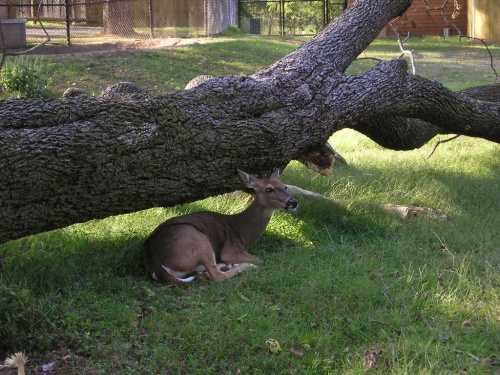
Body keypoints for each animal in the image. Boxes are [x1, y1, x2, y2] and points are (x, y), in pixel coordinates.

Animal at [142, 169, 296, 284]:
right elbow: (258, 259)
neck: (242, 232)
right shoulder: (230, 249)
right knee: (216, 275)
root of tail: (154, 263)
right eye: (269, 189)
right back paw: (244, 267)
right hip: (198, 241)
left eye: (285, 187)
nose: (293, 202)